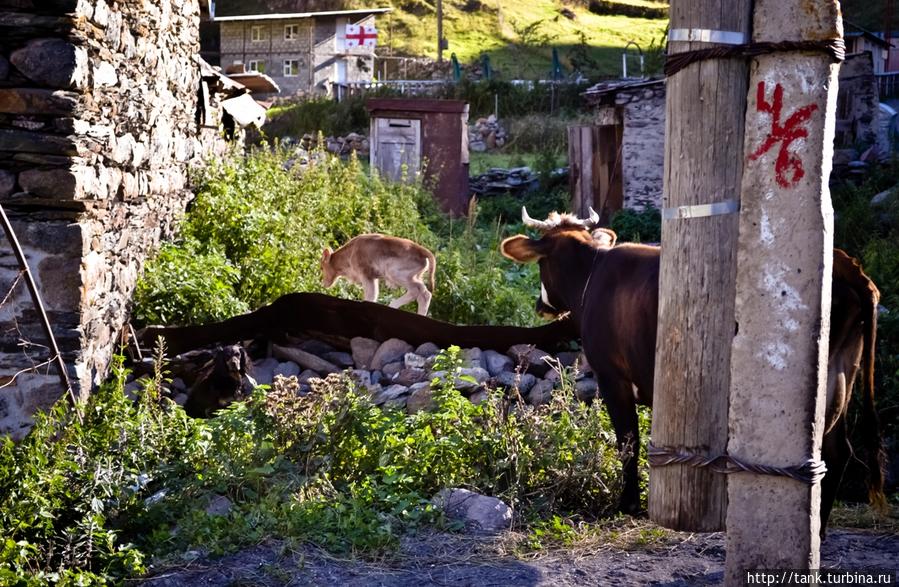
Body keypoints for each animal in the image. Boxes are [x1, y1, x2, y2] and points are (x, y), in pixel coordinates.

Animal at [500, 208, 884, 532]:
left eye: (540, 265)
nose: (539, 305)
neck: (592, 277)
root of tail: (848, 266)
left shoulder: (613, 376)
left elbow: (628, 440)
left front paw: (628, 504)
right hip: (841, 372)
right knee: (838, 450)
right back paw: (819, 527)